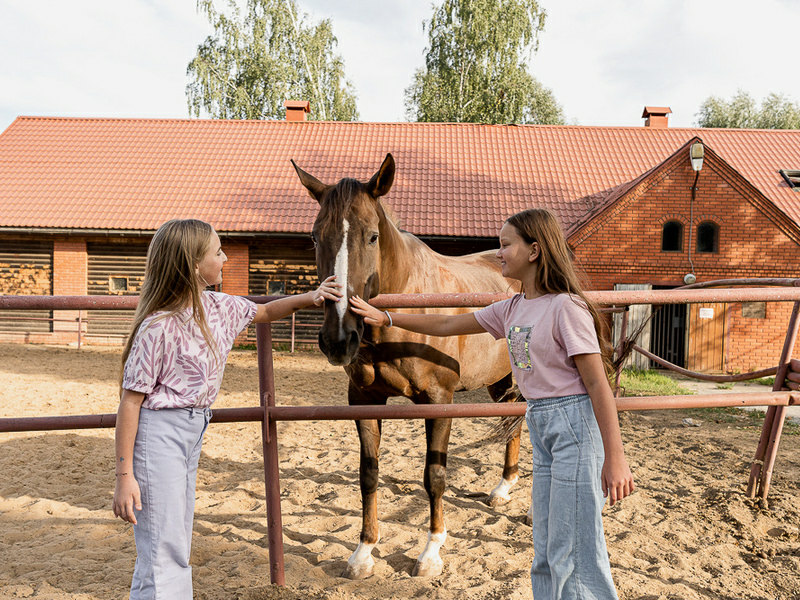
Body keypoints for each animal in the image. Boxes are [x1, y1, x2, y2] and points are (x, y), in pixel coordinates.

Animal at [290, 152, 520, 580]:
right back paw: (503, 488)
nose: (338, 338)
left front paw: (431, 553)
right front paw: (363, 552)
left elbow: (435, 476)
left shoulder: (439, 400)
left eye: (372, 236)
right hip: (502, 381)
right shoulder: (363, 400)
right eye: (314, 237)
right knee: (514, 423)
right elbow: (368, 474)